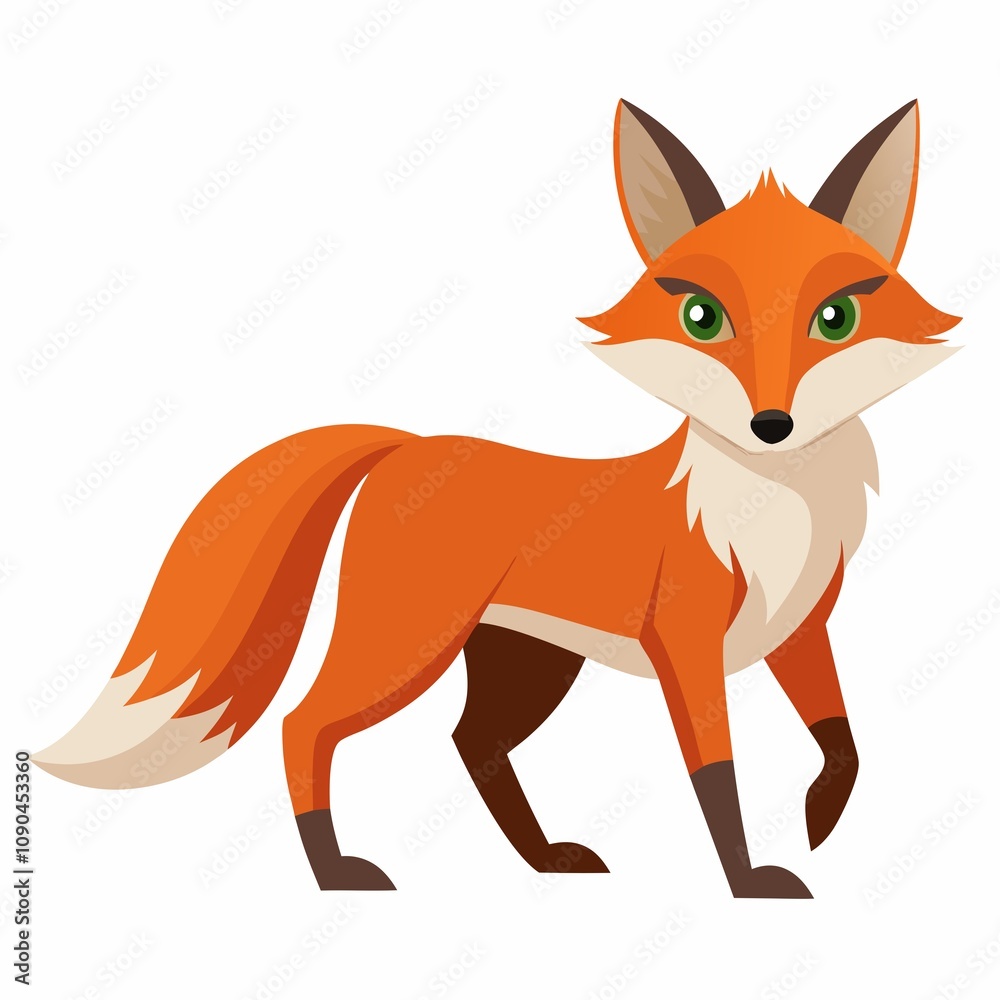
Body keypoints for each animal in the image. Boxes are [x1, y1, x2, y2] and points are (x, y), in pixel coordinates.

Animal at [32, 98, 960, 898]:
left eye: (835, 319)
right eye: (702, 317)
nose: (772, 425)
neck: (768, 509)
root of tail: (407, 445)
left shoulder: (799, 631)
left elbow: (843, 743)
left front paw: (820, 819)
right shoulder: (688, 644)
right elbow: (717, 774)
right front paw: (749, 881)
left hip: (528, 664)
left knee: (469, 741)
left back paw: (543, 860)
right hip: (407, 645)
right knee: (304, 724)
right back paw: (335, 873)